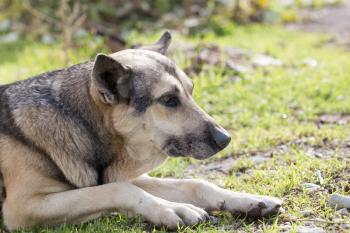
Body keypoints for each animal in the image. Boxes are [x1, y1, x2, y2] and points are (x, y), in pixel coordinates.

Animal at [0, 31, 282, 231]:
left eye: (191, 90)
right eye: (169, 100)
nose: (225, 139)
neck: (84, 125)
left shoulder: (117, 174)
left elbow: (196, 184)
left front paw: (248, 200)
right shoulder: (24, 207)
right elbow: (121, 190)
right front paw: (173, 209)